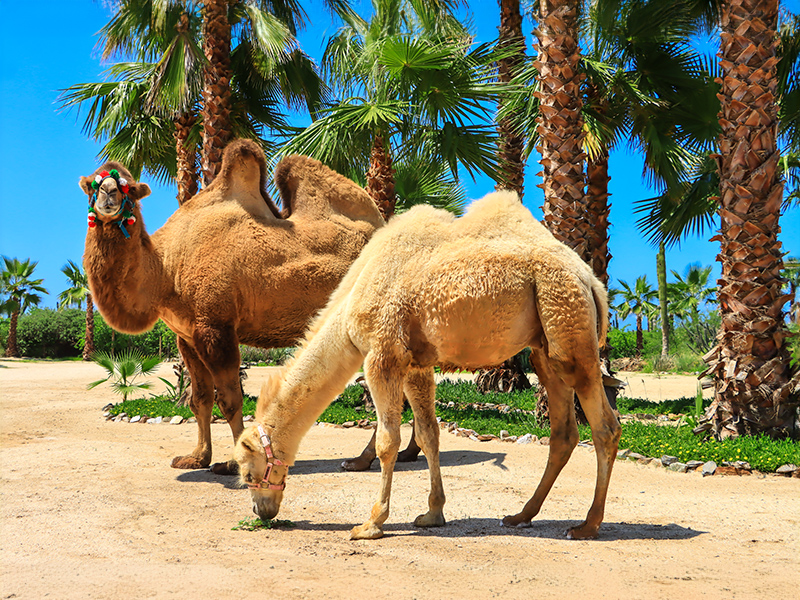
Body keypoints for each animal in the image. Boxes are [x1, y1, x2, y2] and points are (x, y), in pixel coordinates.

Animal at [79, 139, 386, 474]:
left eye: (129, 188)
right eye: (92, 184)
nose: (108, 193)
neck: (167, 270)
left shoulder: (216, 326)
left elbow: (230, 399)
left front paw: (232, 462)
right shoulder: (187, 336)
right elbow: (199, 399)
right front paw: (196, 457)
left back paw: (363, 459)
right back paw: (392, 455)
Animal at [234, 191, 620, 540]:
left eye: (248, 473)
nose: (261, 511)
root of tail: (591, 281)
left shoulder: (382, 355)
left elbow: (388, 441)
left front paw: (371, 524)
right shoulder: (415, 364)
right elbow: (428, 433)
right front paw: (433, 514)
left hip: (568, 321)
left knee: (605, 427)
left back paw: (586, 526)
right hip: (545, 347)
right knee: (563, 432)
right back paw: (520, 516)